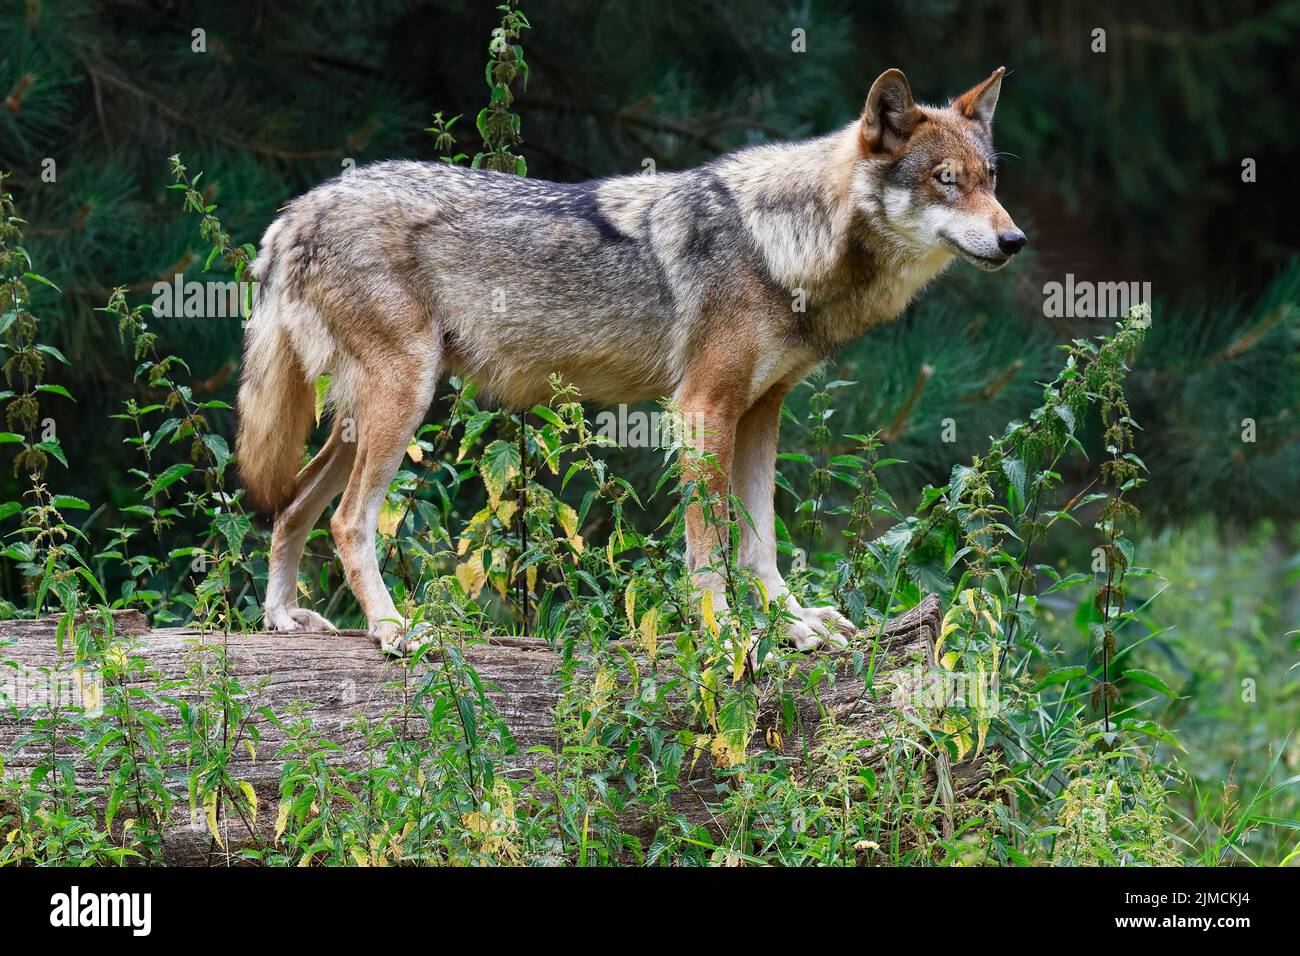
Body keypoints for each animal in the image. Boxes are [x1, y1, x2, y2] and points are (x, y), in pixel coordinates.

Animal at [237, 67, 1026, 654]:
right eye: (945, 181)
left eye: (990, 179)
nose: (1015, 240)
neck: (785, 245)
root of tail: (297, 209)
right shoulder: (703, 407)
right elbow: (709, 548)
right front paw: (726, 634)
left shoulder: (761, 412)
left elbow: (761, 543)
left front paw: (795, 624)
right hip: (402, 401)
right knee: (347, 521)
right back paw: (393, 629)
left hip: (368, 417)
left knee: (291, 506)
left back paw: (282, 621)